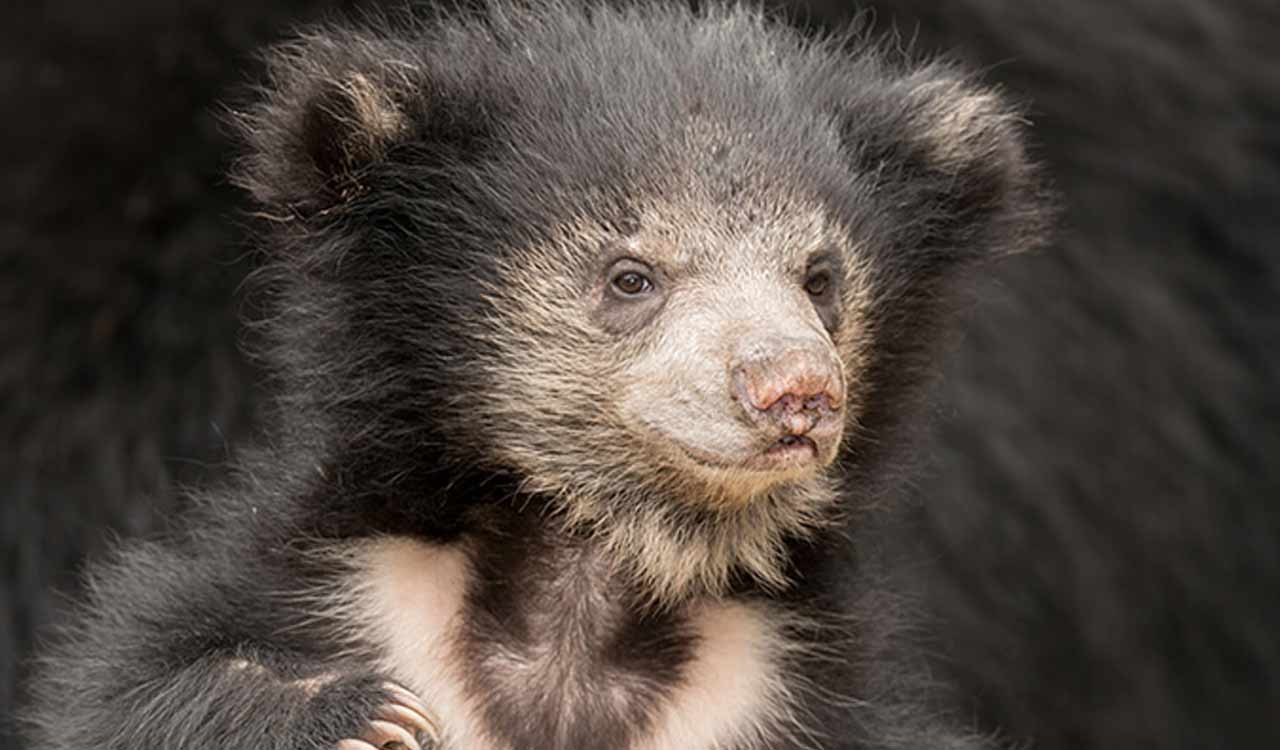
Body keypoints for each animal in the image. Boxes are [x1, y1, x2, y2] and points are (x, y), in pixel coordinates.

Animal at [27, 1, 1049, 747]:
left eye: (820, 279)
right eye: (631, 277)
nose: (795, 391)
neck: (592, 578)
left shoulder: (794, 696)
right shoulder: (336, 586)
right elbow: (135, 691)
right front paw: (360, 717)